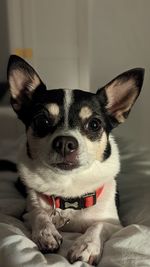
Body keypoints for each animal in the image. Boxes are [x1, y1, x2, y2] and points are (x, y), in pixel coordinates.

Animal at [6, 55, 144, 266]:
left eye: (94, 124)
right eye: (42, 121)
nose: (65, 142)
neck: (69, 188)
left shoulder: (115, 224)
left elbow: (98, 226)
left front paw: (86, 246)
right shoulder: (27, 213)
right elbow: (39, 213)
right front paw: (46, 233)